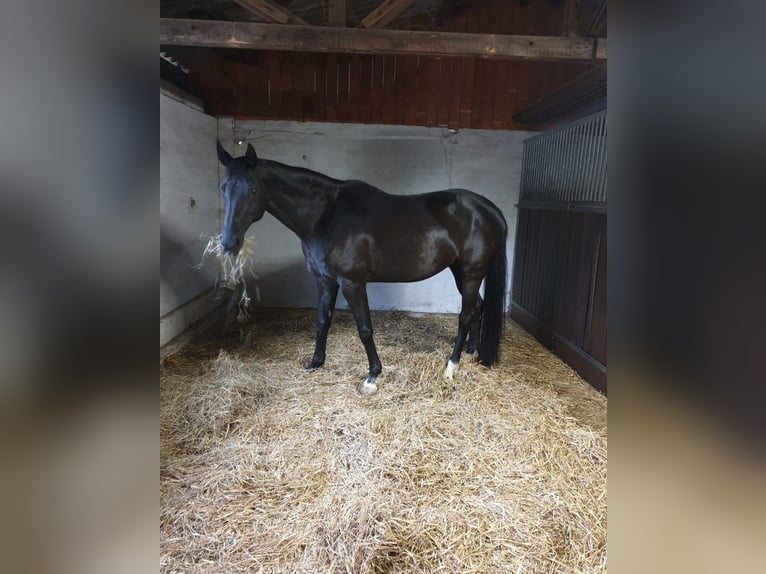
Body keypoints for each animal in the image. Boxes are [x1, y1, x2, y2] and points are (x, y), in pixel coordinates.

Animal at [216, 140, 508, 395]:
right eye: (222, 188)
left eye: (253, 189)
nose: (229, 242)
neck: (328, 216)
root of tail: (490, 210)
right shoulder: (325, 281)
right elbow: (322, 321)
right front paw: (315, 362)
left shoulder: (352, 283)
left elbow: (365, 329)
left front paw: (372, 376)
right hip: (459, 271)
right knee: (477, 307)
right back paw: (471, 352)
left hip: (471, 273)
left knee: (465, 315)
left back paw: (451, 367)